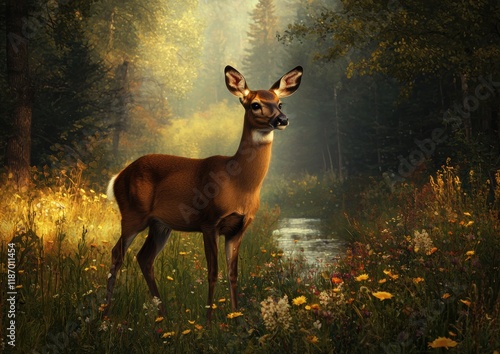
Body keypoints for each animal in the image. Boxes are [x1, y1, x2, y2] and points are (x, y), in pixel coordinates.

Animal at [103, 64, 302, 320]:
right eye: (255, 104)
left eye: (280, 103)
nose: (282, 119)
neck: (239, 184)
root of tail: (119, 176)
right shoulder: (209, 221)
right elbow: (213, 272)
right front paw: (208, 320)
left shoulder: (239, 227)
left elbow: (233, 273)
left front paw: (235, 316)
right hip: (132, 214)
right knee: (117, 253)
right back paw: (105, 313)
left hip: (160, 224)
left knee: (144, 258)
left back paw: (163, 315)